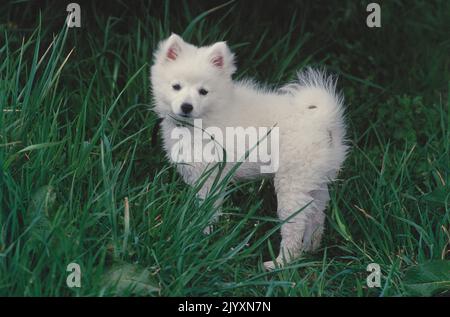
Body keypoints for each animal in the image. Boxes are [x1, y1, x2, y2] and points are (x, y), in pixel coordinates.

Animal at [151, 33, 348, 268]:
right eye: (176, 86)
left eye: (203, 92)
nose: (187, 107)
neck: (204, 121)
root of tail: (323, 119)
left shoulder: (210, 178)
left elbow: (206, 212)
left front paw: (199, 238)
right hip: (314, 181)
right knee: (317, 214)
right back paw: (310, 248)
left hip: (292, 183)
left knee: (295, 224)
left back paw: (281, 263)